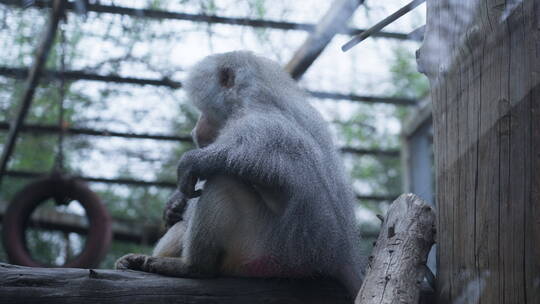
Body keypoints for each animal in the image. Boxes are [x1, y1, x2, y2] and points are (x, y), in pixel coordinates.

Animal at [115, 50, 368, 300]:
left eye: (204, 112)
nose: (195, 130)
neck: (253, 98)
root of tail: (337, 257)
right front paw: (176, 202)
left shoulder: (261, 126)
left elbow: (270, 169)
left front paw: (195, 161)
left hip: (266, 257)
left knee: (224, 181)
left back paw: (193, 268)